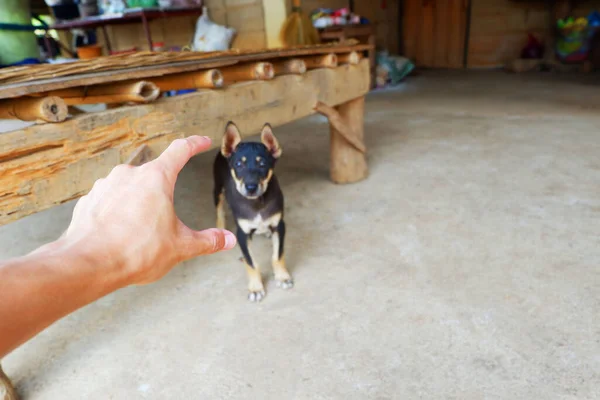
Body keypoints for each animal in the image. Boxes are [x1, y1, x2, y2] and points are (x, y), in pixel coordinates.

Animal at [213, 120, 292, 302]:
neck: (257, 202)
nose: (250, 187)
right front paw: (256, 288)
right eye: (238, 164)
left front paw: (282, 277)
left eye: (262, 164)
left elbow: (278, 255)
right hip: (217, 189)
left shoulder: (279, 225)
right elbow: (251, 262)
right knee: (219, 208)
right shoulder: (242, 233)